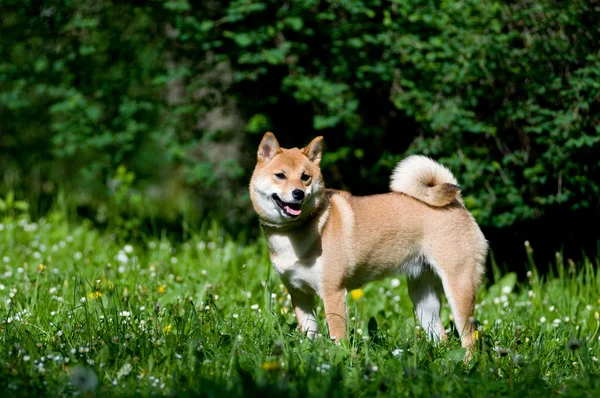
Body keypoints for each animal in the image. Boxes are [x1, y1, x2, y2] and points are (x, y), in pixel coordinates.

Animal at [248, 131, 488, 358]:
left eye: (305, 177)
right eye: (280, 175)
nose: (298, 193)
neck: (294, 231)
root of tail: (458, 203)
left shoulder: (333, 292)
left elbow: (337, 335)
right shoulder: (299, 295)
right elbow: (309, 334)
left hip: (458, 286)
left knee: (469, 339)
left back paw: (467, 364)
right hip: (423, 297)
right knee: (441, 335)